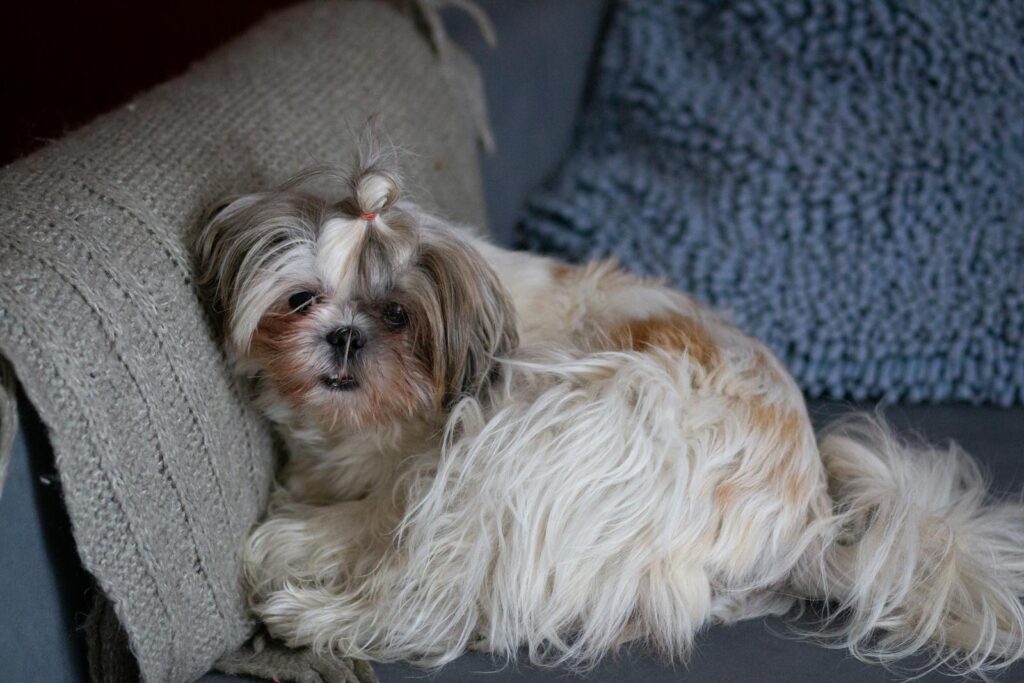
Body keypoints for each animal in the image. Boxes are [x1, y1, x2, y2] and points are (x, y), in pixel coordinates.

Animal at [195, 152, 1024, 675]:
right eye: (301, 299)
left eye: (398, 315)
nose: (344, 334)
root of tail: (803, 532)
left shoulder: (439, 452)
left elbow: (376, 513)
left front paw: (299, 536)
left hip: (520, 447)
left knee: (437, 597)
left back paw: (311, 614)